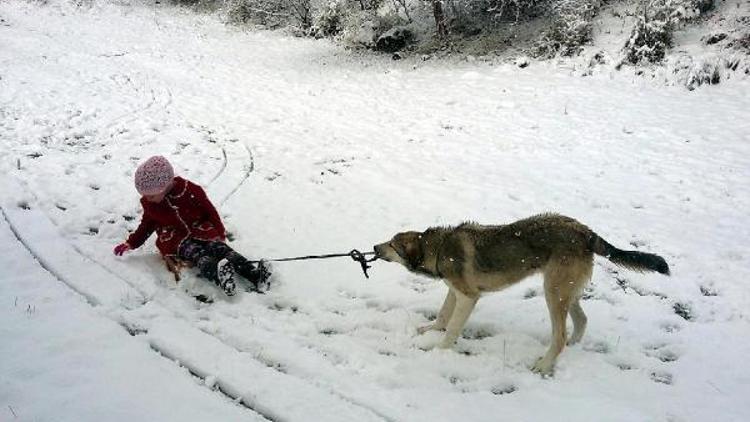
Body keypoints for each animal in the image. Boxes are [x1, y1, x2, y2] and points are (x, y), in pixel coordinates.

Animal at [374, 214, 672, 376]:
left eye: (392, 244)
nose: (375, 247)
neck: (440, 247)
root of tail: (586, 232)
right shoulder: (454, 292)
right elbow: (442, 317)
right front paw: (429, 331)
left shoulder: (468, 297)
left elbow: (452, 330)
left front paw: (437, 351)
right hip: (566, 292)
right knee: (581, 321)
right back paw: (572, 347)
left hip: (553, 293)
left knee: (559, 336)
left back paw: (544, 365)